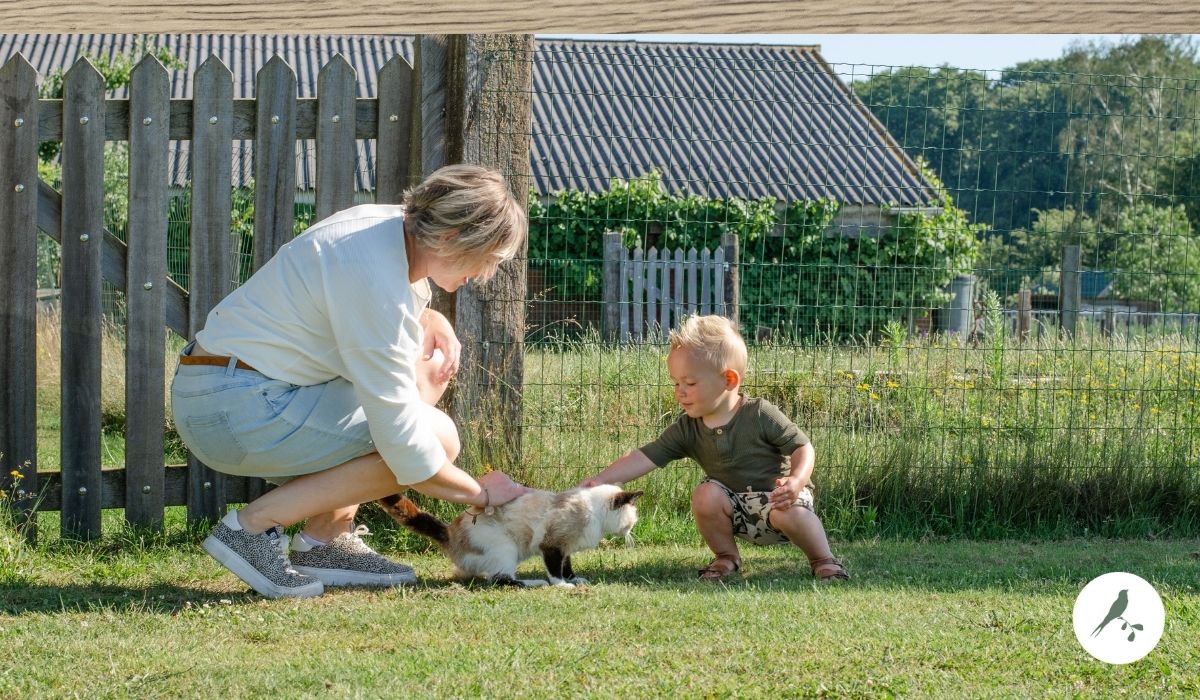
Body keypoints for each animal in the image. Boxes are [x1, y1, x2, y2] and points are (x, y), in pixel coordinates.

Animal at [376, 485, 643, 588]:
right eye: (632, 521)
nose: (631, 532)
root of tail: (449, 534)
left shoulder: (565, 548)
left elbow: (567, 567)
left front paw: (575, 579)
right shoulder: (552, 545)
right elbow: (556, 572)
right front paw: (563, 586)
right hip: (506, 548)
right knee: (502, 580)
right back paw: (535, 583)